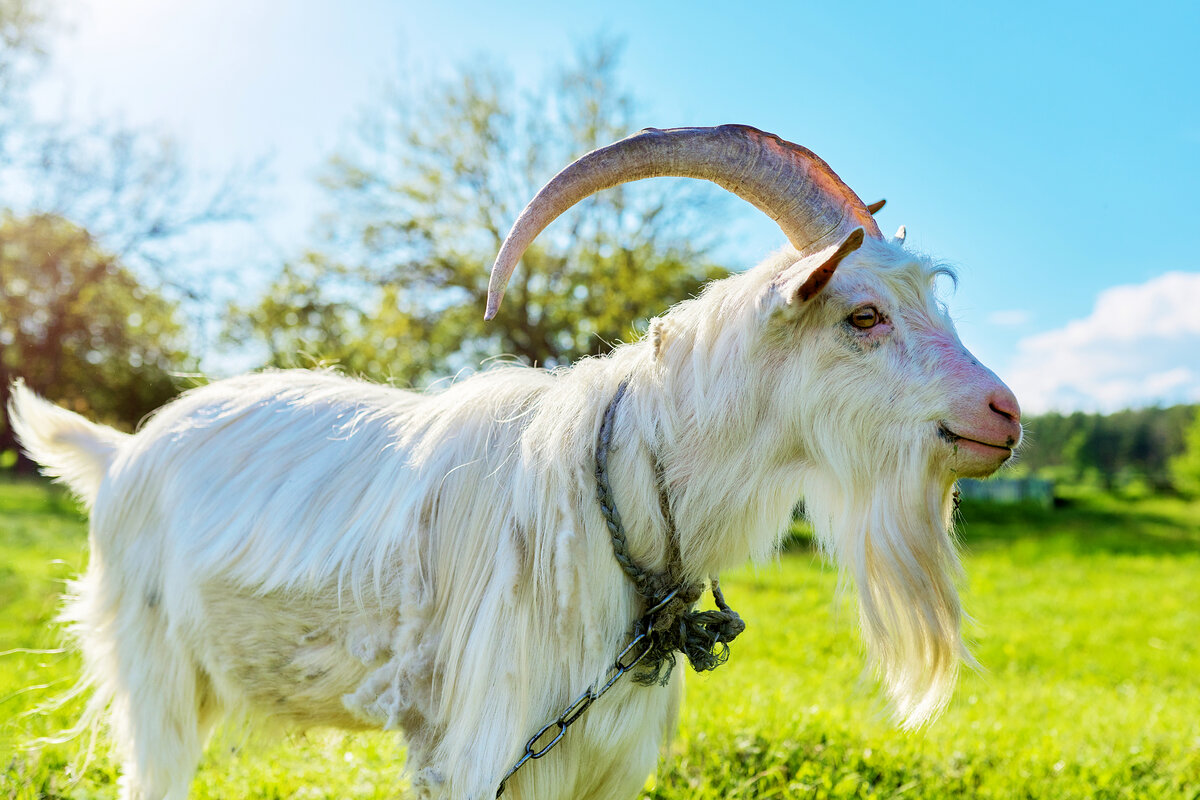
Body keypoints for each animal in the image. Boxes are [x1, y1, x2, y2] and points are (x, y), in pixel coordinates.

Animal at [11, 125, 1022, 800]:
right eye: (864, 315)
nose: (1004, 413)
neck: (623, 497)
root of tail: (122, 449)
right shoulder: (487, 750)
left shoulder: (601, 758)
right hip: (155, 677)